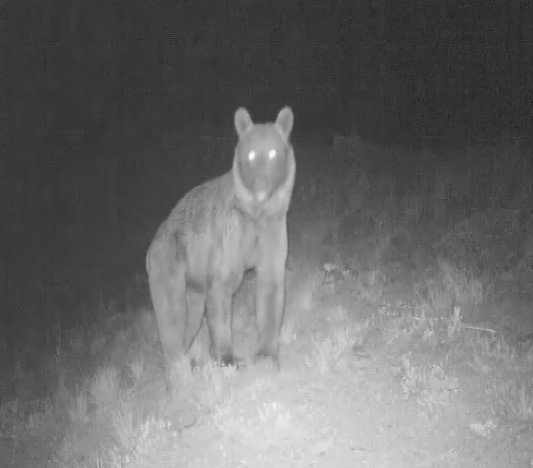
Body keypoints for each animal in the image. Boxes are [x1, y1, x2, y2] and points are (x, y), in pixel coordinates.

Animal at [145, 107, 296, 372]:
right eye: (251, 154)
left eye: (273, 153)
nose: (261, 185)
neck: (256, 212)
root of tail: (150, 247)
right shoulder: (227, 240)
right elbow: (221, 299)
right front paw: (228, 359)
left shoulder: (273, 230)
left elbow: (271, 289)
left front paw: (267, 355)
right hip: (169, 262)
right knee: (172, 315)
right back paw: (178, 366)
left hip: (193, 287)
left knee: (191, 320)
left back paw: (189, 360)